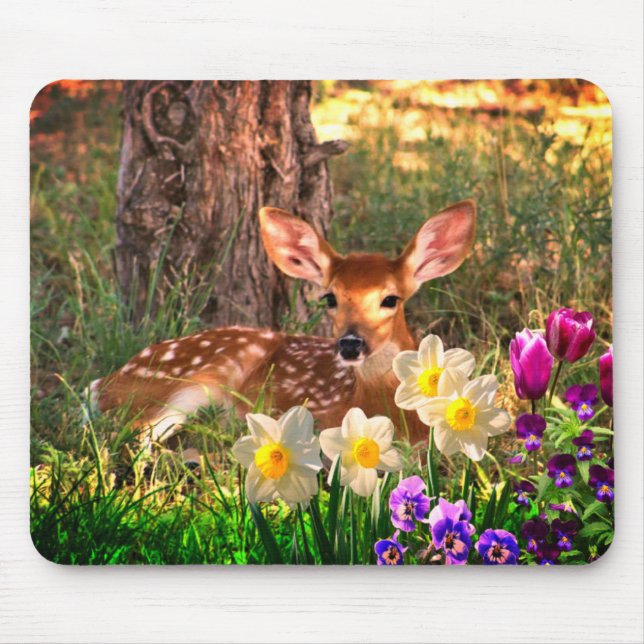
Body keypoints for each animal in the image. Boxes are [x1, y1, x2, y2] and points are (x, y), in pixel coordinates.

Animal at [89, 200, 476, 447]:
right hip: (190, 380)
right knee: (135, 433)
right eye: (330, 298)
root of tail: (105, 382)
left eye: (390, 299)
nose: (350, 344)